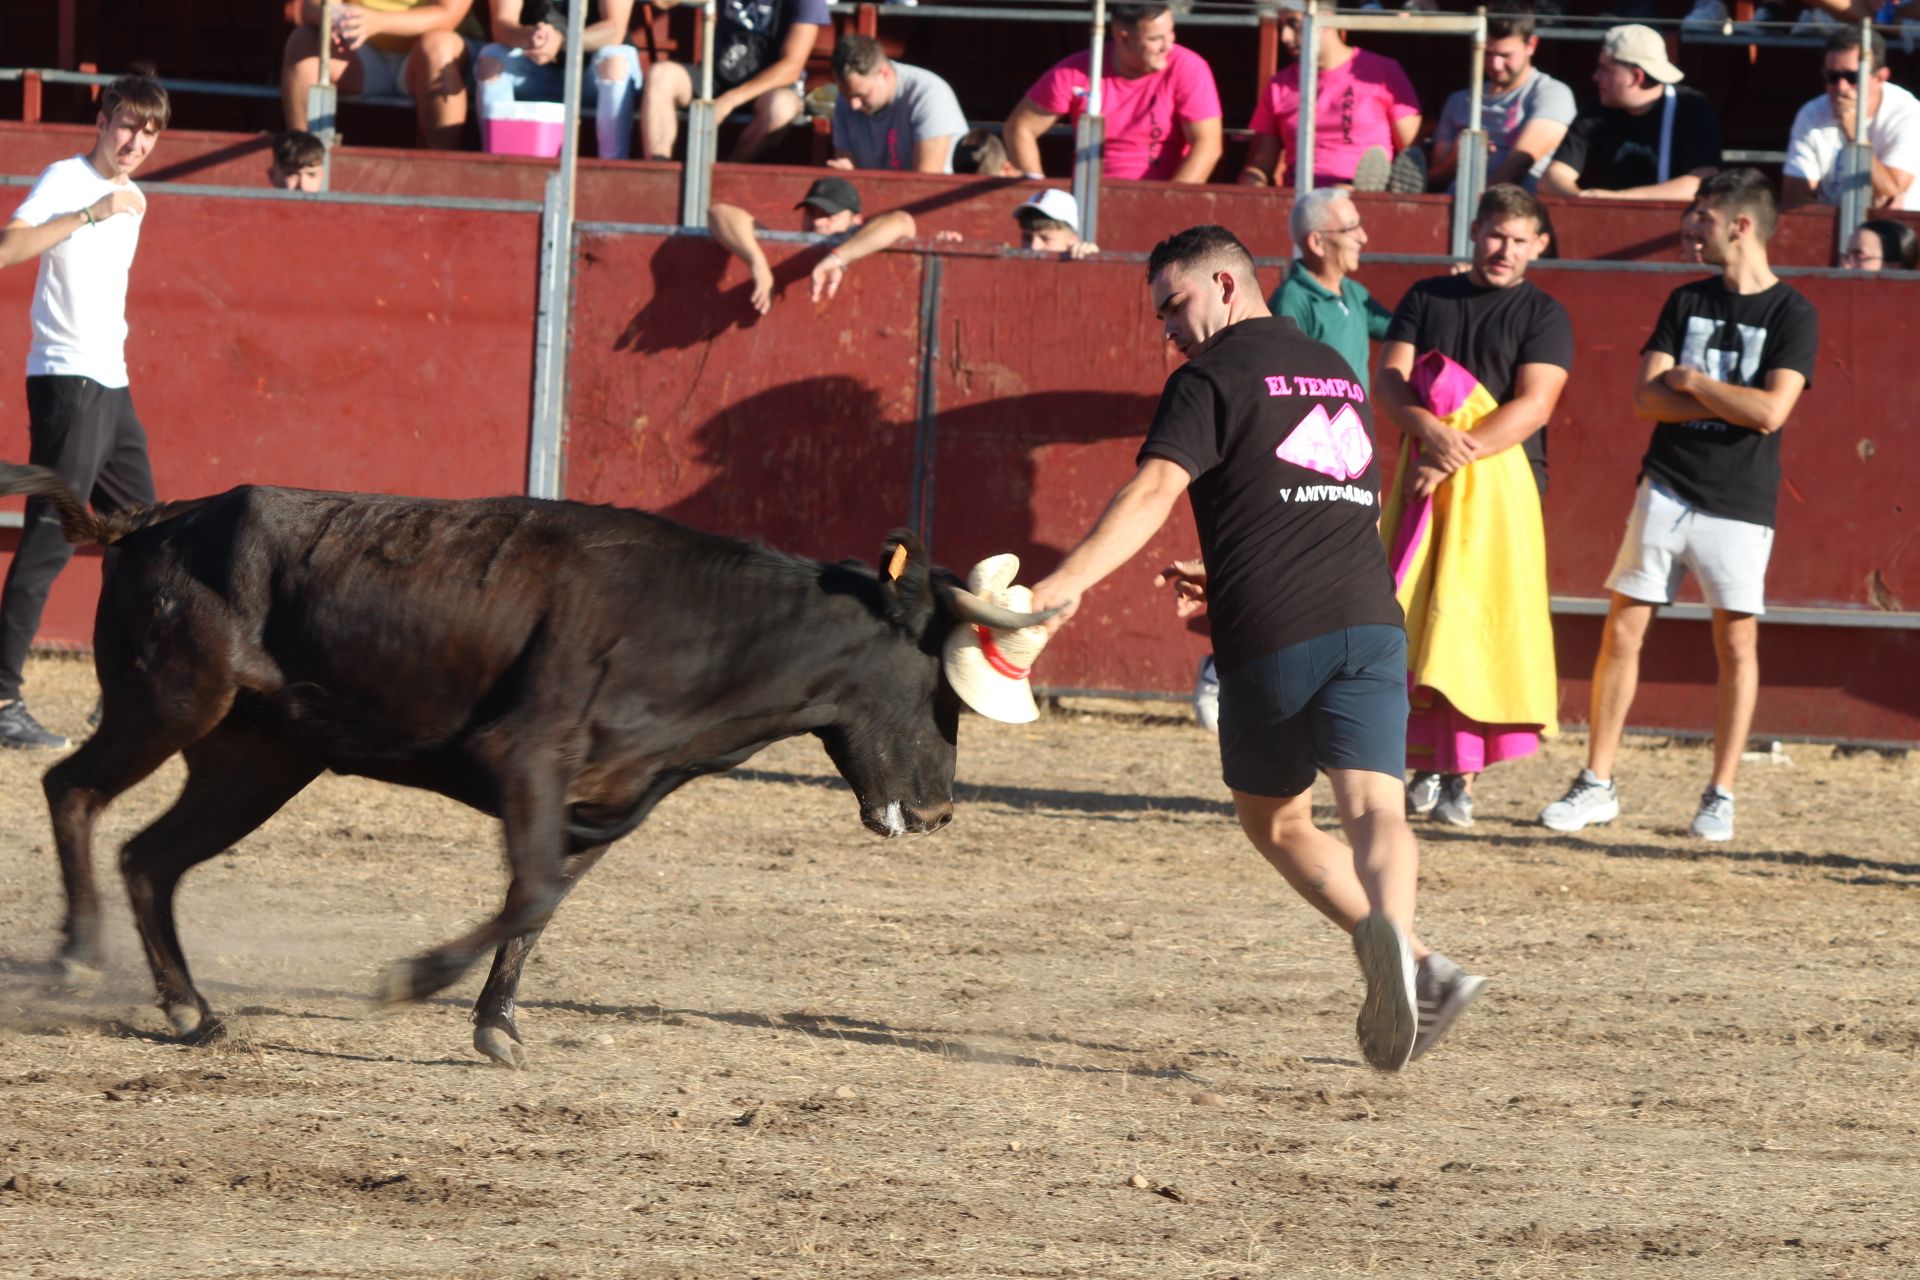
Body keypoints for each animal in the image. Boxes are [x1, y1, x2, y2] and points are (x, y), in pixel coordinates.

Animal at [0, 466, 1052, 1066]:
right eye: (937, 676)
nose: (941, 811)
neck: (705, 630)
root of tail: (154, 520)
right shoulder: (527, 763)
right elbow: (534, 889)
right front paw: (414, 980)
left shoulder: (608, 801)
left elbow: (538, 904)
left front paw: (496, 1026)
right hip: (170, 700)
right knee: (75, 791)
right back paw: (78, 955)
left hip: (259, 756)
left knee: (152, 857)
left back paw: (190, 1011)